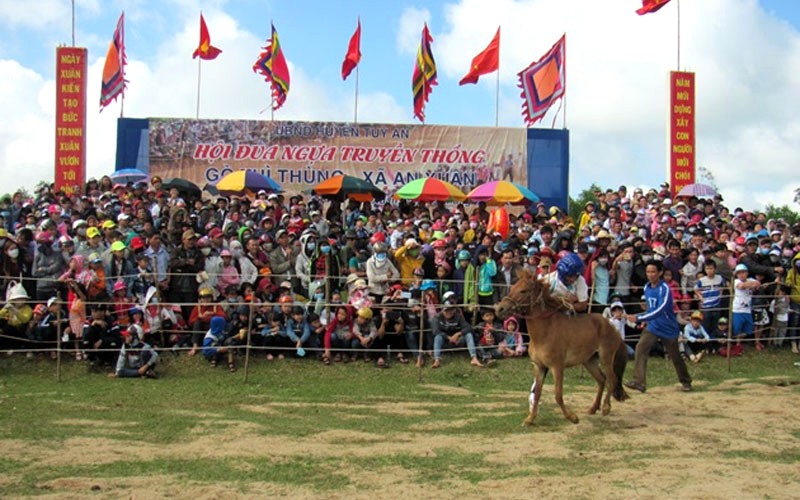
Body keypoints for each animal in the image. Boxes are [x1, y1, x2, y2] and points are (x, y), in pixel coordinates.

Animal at [494, 270, 632, 426]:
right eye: (512, 288)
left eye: (523, 290)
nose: (499, 309)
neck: (544, 332)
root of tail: (611, 325)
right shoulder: (539, 366)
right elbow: (537, 393)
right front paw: (530, 419)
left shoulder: (557, 367)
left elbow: (558, 395)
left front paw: (572, 417)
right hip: (589, 360)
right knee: (602, 380)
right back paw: (593, 408)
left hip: (605, 358)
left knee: (612, 379)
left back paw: (606, 407)